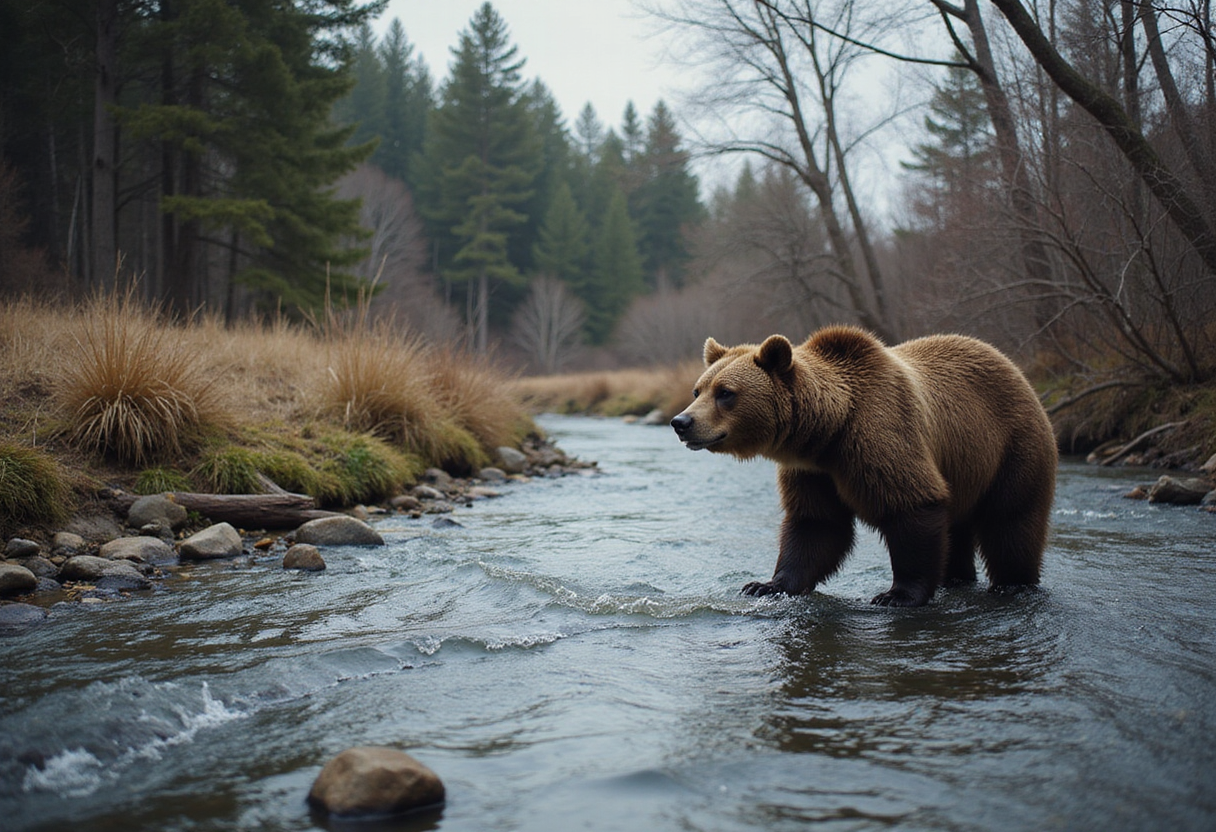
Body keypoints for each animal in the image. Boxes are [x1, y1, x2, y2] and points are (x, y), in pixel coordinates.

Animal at [669, 325, 1057, 607]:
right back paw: (957, 577)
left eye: (726, 393)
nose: (681, 422)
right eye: (698, 390)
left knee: (1011, 521)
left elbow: (912, 504)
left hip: (1012, 448)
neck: (829, 432)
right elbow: (816, 525)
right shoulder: (814, 473)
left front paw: (897, 594)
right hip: (966, 468)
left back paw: (1013, 584)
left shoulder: (882, 436)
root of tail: (1016, 369)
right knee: (959, 528)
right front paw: (765, 585)